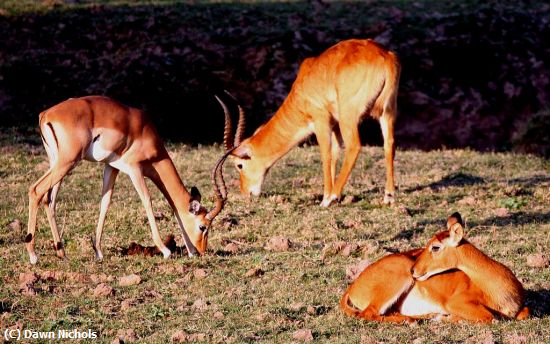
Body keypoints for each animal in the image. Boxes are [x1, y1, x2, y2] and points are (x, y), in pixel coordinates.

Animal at [25, 95, 233, 264]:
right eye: (202, 226)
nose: (201, 251)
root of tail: (46, 114)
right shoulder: (134, 168)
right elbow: (147, 200)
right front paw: (165, 251)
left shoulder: (111, 167)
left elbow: (105, 203)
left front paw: (98, 251)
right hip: (67, 162)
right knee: (35, 190)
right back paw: (33, 255)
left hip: (58, 163)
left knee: (49, 200)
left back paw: (62, 253)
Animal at [219, 40, 402, 207]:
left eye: (239, 165)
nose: (246, 192)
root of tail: (385, 57)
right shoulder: (335, 125)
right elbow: (335, 153)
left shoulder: (321, 121)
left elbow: (326, 155)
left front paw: (326, 197)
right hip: (387, 112)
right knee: (389, 144)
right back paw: (388, 196)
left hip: (349, 117)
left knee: (354, 146)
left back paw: (332, 197)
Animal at [340, 212, 532, 322]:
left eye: (435, 247)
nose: (414, 270)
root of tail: (353, 287)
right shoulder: (456, 302)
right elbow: (490, 317)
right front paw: (445, 318)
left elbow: (525, 312)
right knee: (368, 314)